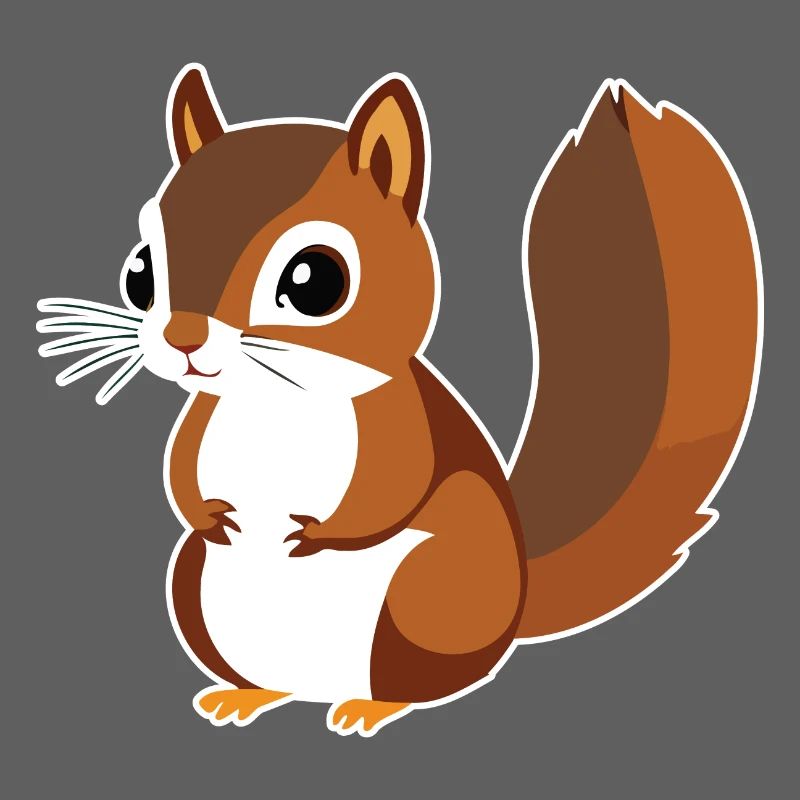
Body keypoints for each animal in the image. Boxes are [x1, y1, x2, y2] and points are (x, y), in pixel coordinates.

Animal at [37, 64, 760, 736]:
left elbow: (390, 489)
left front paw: (315, 534)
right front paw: (210, 515)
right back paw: (246, 695)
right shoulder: (202, 421)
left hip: (427, 598)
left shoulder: (399, 423)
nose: (182, 338)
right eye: (140, 270)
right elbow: (180, 474)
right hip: (195, 589)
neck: (274, 403)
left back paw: (370, 707)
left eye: (315, 280)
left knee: (417, 682)